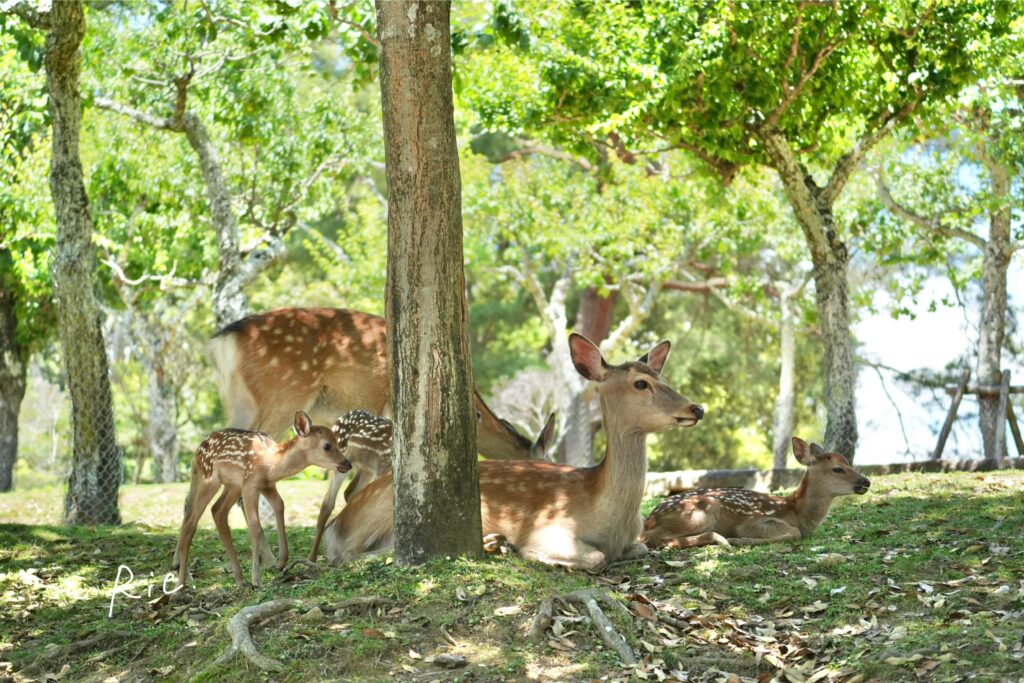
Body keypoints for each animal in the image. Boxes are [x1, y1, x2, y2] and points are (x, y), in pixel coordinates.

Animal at [172, 411, 350, 588]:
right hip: (210, 479)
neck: (271, 465)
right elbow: (255, 526)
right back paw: (181, 582)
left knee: (216, 511)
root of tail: (197, 451)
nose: (348, 464)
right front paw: (256, 579)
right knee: (192, 521)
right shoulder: (250, 485)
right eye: (327, 445)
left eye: (337, 441)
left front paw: (282, 561)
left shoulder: (267, 485)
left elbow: (280, 505)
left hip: (231, 485)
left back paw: (239, 579)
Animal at [323, 333, 705, 571]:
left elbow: (641, 547)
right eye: (641, 383)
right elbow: (595, 557)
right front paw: (525, 551)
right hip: (378, 509)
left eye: (662, 376)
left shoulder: (634, 539)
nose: (697, 408)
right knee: (349, 554)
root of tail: (338, 525)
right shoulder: (548, 526)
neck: (611, 516)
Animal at [640, 436, 871, 549]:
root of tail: (650, 519)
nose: (866, 481)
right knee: (653, 539)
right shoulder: (756, 520)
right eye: (838, 469)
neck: (797, 513)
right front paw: (741, 540)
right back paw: (722, 540)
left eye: (848, 462)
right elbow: (793, 533)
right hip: (702, 509)